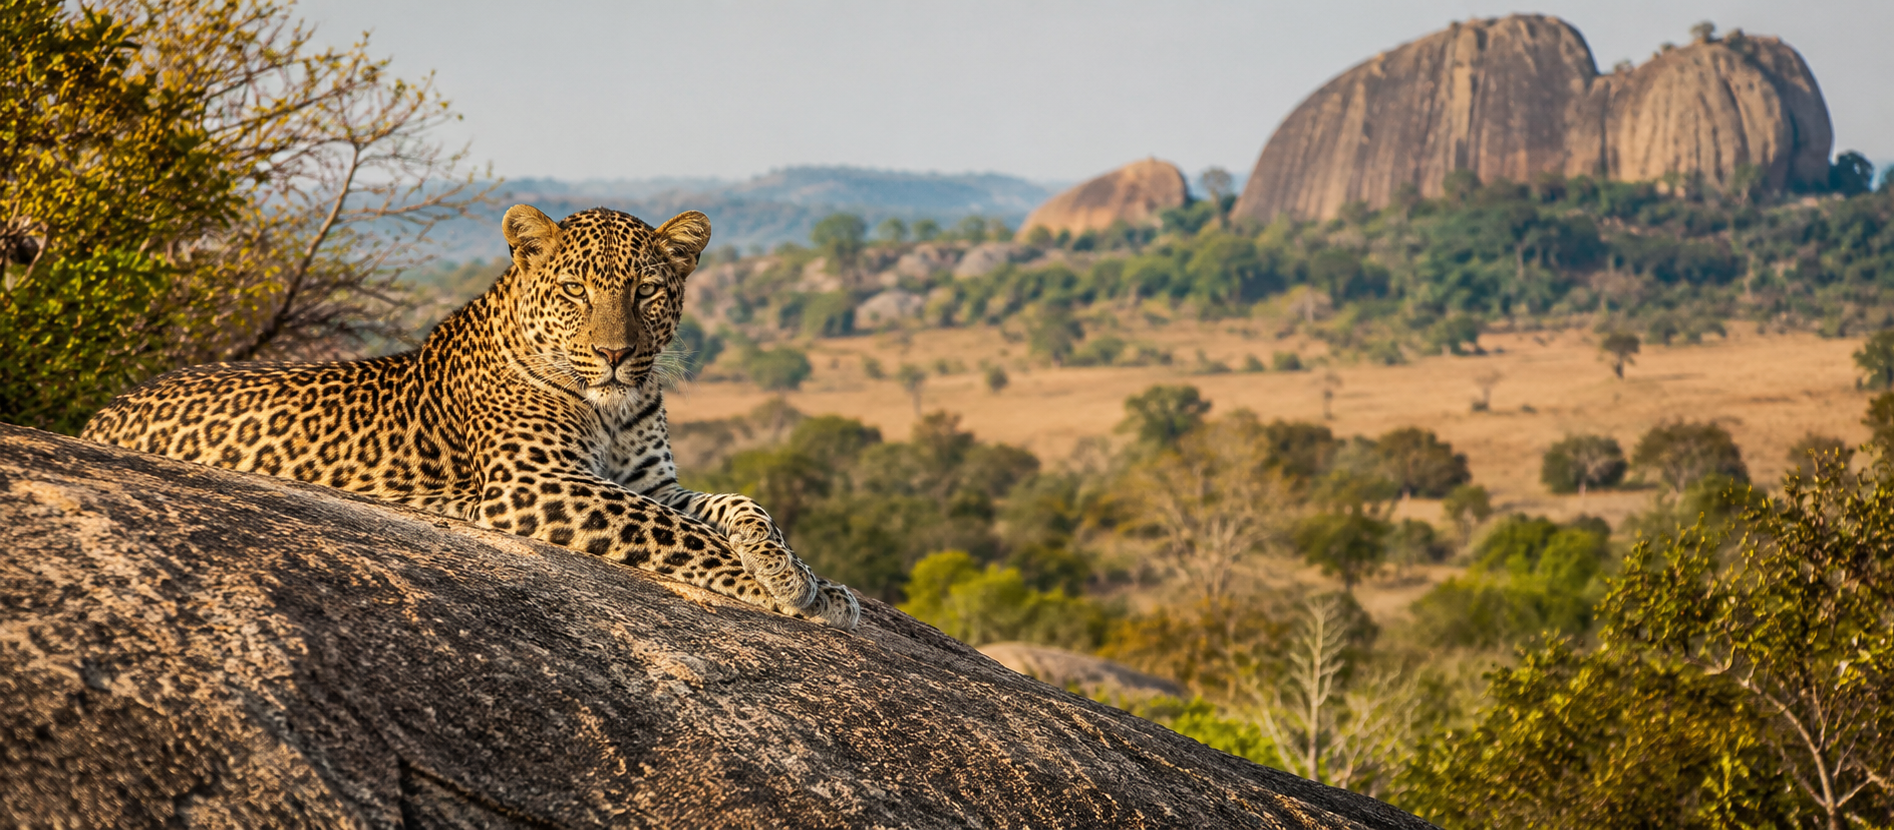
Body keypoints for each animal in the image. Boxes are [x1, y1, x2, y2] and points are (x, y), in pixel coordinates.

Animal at [82, 204, 860, 629]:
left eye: (646, 291)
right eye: (575, 291)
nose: (615, 354)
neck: (610, 407)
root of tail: (101, 413)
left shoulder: (650, 481)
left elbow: (742, 507)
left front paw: (806, 578)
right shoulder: (537, 483)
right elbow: (678, 533)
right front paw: (776, 589)